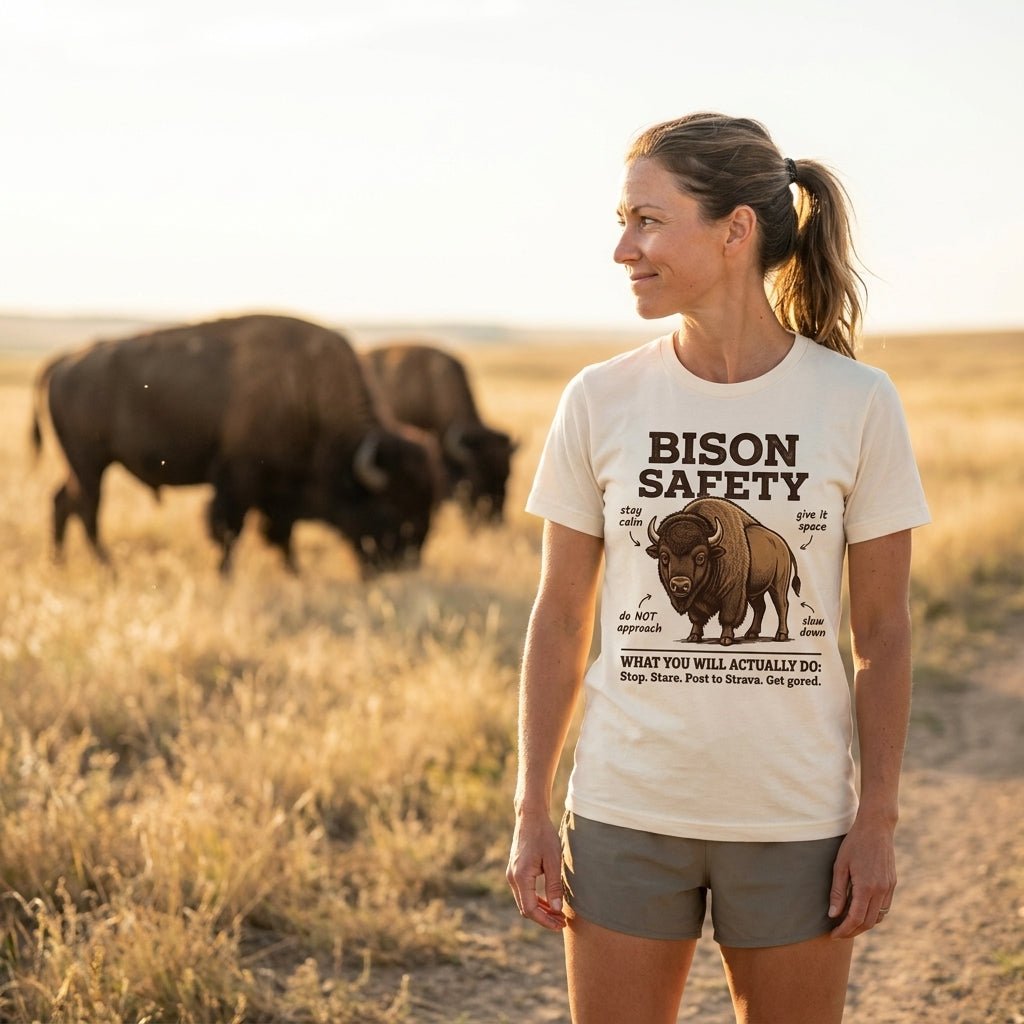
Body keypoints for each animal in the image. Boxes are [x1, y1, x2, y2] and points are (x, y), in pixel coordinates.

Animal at [31, 314, 438, 575]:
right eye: (389, 508)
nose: (403, 565)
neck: (306, 390)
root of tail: (64, 362)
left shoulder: (276, 494)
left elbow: (280, 534)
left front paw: (295, 571)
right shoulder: (238, 481)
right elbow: (230, 531)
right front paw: (226, 574)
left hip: (81, 464)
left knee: (62, 503)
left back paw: (59, 564)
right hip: (89, 462)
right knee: (86, 508)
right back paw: (106, 567)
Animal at [646, 496, 800, 645]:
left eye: (701, 557)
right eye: (664, 556)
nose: (679, 585)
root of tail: (782, 545)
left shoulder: (733, 592)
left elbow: (727, 616)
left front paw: (726, 639)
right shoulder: (695, 598)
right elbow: (697, 617)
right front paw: (694, 636)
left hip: (778, 585)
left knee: (782, 605)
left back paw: (781, 635)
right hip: (755, 592)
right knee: (760, 607)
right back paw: (751, 633)